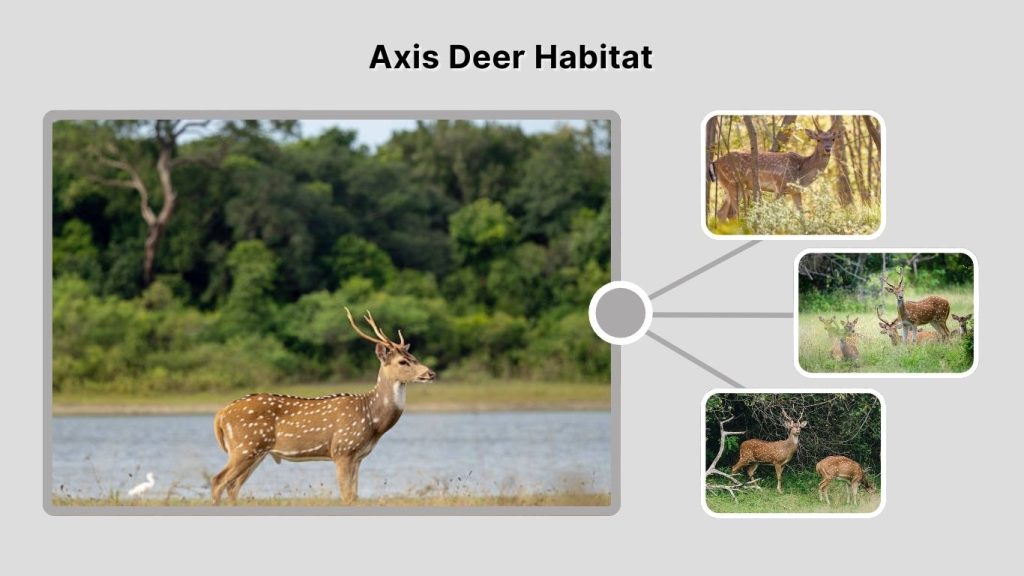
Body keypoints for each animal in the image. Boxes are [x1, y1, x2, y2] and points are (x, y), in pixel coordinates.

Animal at [210, 308, 436, 505]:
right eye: (402, 362)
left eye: (414, 357)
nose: (431, 373)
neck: (373, 421)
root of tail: (221, 414)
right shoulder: (342, 450)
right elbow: (346, 496)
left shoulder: (358, 456)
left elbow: (354, 496)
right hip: (245, 446)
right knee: (218, 481)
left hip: (255, 451)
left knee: (233, 486)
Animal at [709, 123, 837, 221]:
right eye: (818, 139)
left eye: (833, 139)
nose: (828, 149)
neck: (801, 173)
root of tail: (715, 162)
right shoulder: (780, 185)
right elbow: (775, 212)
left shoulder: (795, 191)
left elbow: (801, 216)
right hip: (733, 182)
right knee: (732, 214)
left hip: (728, 184)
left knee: (721, 213)